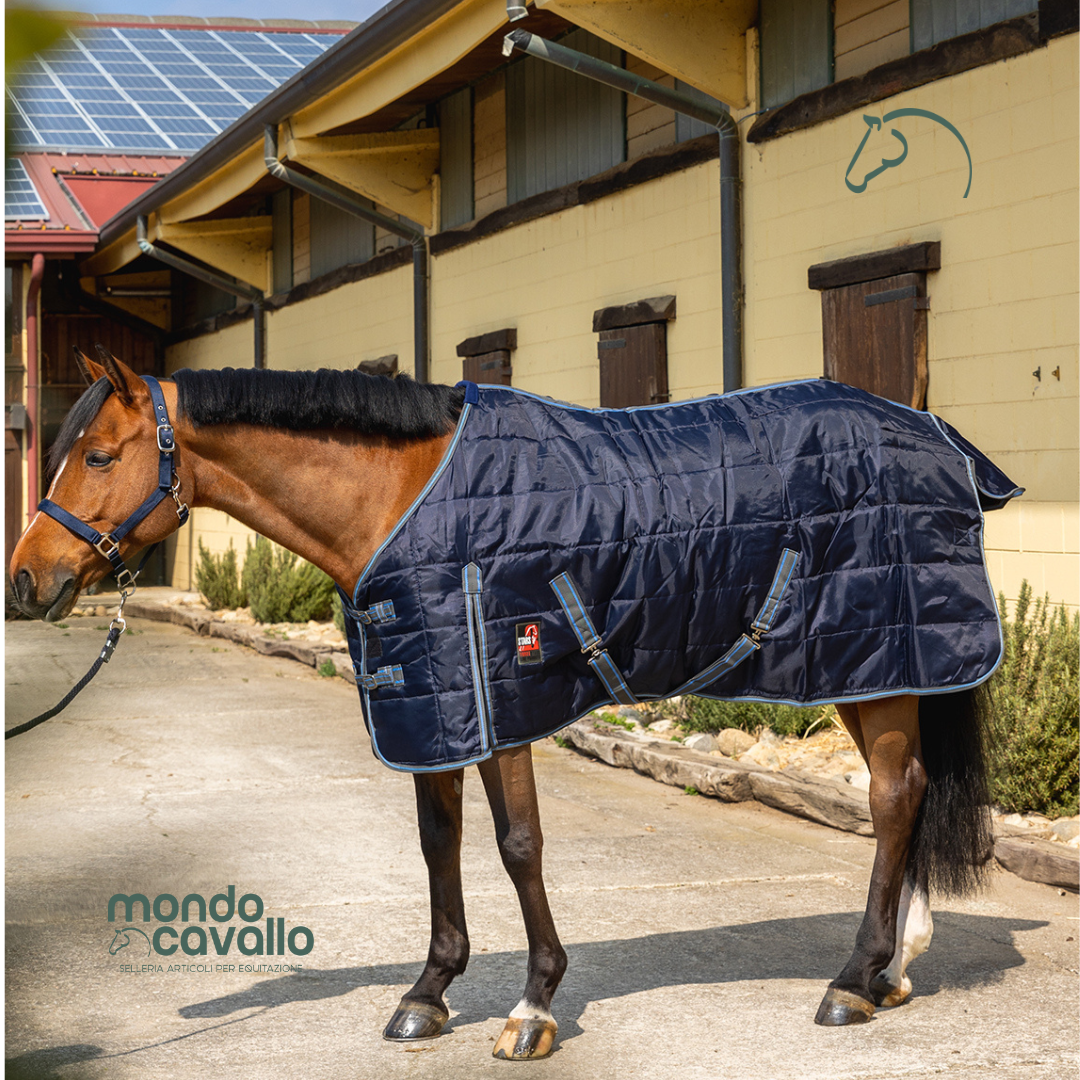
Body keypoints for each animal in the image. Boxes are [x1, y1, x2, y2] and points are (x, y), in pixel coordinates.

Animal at [10, 347, 1020, 1060]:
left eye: (97, 455)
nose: (25, 582)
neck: (402, 498)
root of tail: (934, 434)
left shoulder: (503, 696)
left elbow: (518, 845)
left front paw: (533, 1006)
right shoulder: (435, 706)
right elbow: (439, 844)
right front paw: (426, 995)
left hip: (881, 664)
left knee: (894, 798)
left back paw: (852, 981)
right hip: (872, 667)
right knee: (908, 794)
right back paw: (891, 969)